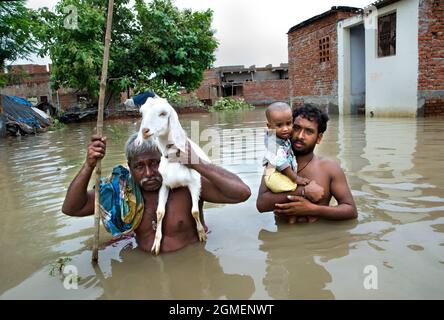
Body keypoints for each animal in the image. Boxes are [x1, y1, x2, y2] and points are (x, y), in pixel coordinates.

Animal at [134, 97, 210, 255]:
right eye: (142, 113)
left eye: (163, 113)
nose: (145, 131)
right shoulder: (164, 184)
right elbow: (159, 212)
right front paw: (156, 243)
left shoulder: (194, 183)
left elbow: (194, 211)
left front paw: (201, 233)